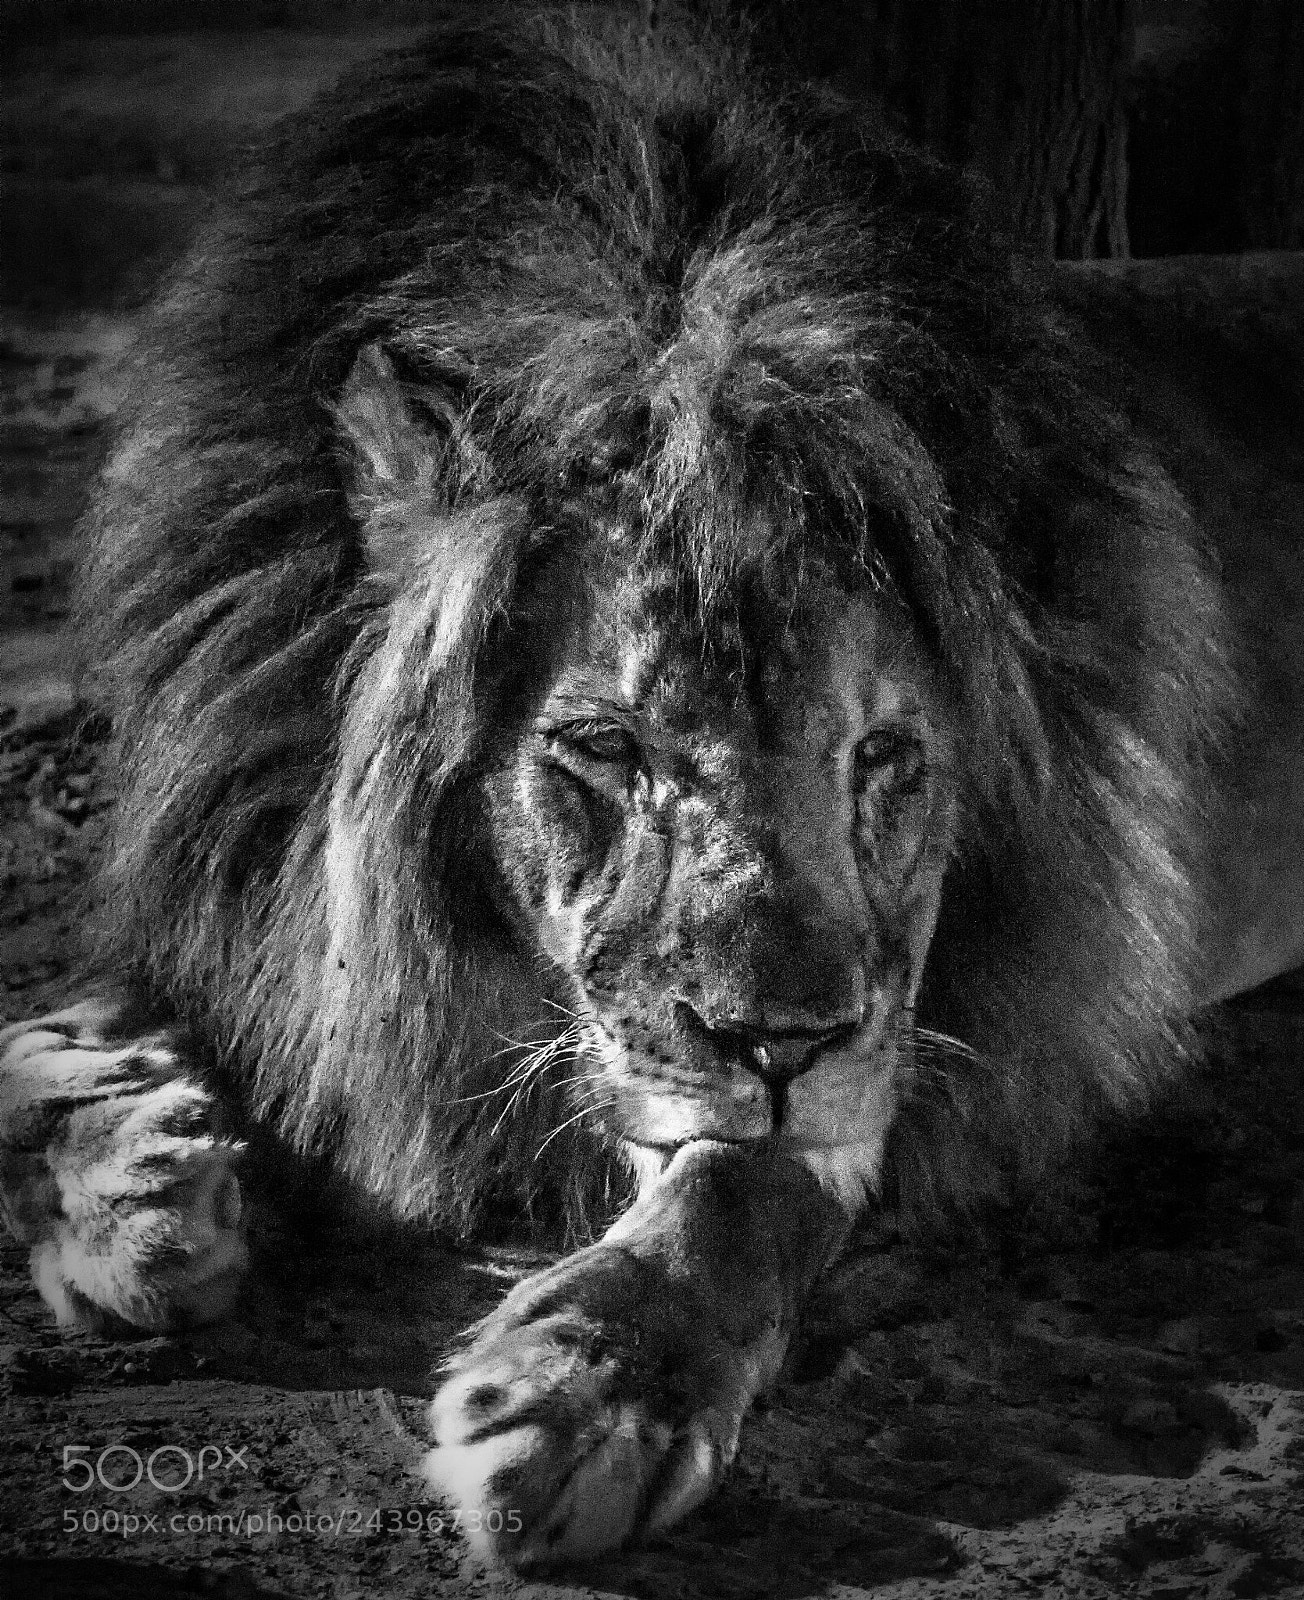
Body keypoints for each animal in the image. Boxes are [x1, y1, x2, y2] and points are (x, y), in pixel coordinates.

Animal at [1, 2, 1296, 1571]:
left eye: (884, 757)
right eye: (609, 747)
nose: (782, 1050)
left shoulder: (911, 1023)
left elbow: (743, 1182)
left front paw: (593, 1387)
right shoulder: (236, 878)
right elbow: (36, 1030)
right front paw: (135, 1181)